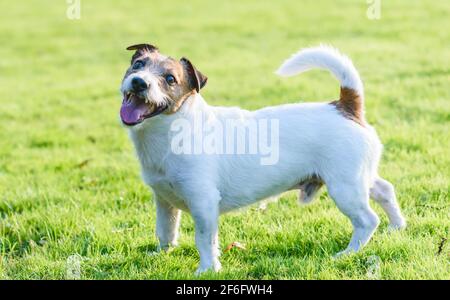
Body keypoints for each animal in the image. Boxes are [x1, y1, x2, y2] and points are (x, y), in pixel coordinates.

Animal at [118, 42, 406, 274]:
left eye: (170, 79)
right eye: (138, 65)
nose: (139, 82)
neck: (174, 130)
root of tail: (345, 106)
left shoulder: (203, 203)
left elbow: (205, 239)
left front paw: (207, 269)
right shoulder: (164, 201)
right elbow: (165, 231)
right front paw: (161, 254)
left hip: (345, 187)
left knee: (367, 220)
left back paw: (348, 252)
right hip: (359, 177)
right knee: (384, 190)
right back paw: (397, 226)